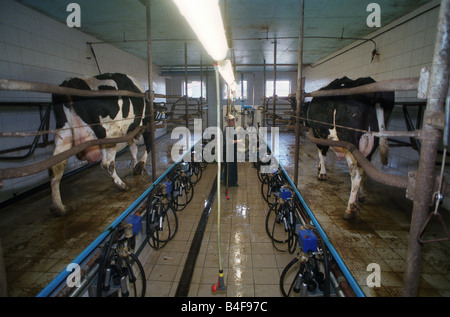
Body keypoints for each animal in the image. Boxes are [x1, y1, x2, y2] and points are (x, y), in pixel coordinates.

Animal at [48, 72, 151, 215]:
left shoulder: (128, 132)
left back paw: (59, 207)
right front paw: (140, 165)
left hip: (63, 134)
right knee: (107, 163)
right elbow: (147, 146)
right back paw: (121, 185)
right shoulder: (145, 125)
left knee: (55, 168)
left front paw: (135, 165)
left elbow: (133, 149)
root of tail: (70, 83)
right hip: (110, 134)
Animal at [298, 77, 394, 220]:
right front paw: (320, 168)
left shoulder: (318, 135)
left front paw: (322, 173)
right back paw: (361, 195)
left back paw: (351, 209)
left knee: (356, 173)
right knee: (364, 169)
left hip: (350, 144)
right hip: (372, 145)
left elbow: (321, 153)